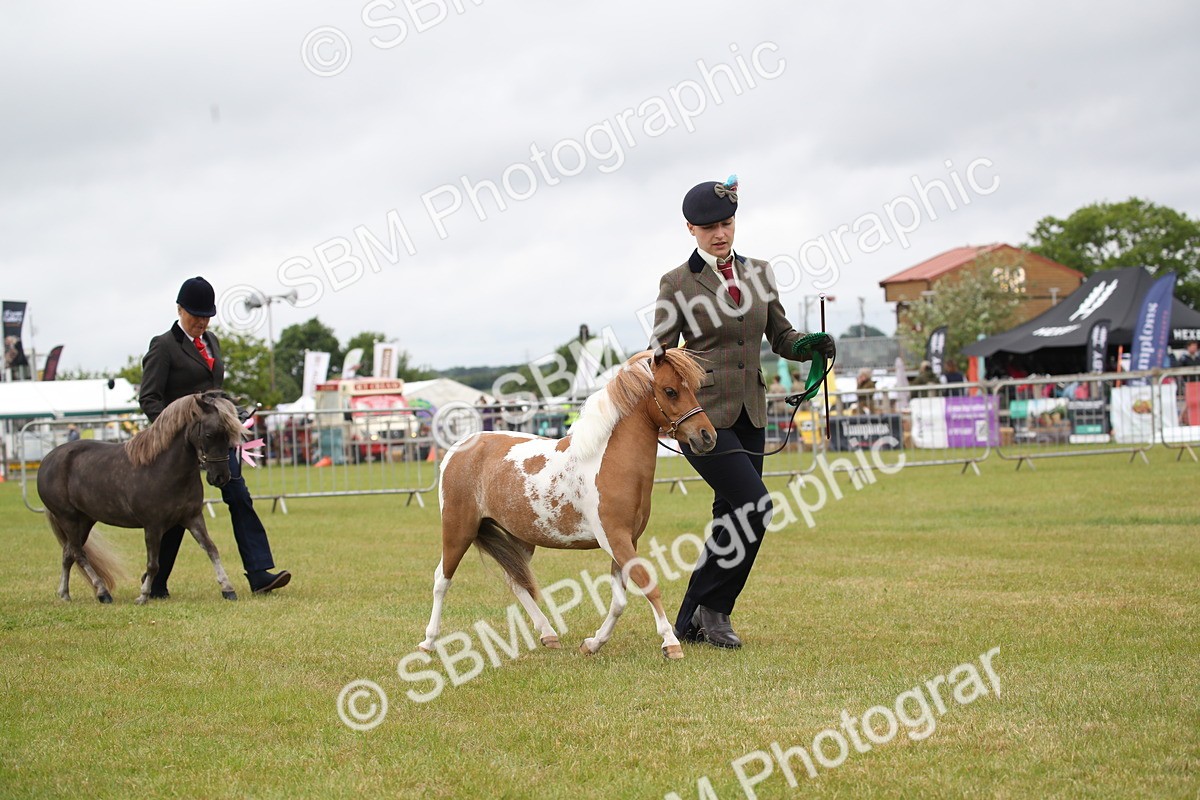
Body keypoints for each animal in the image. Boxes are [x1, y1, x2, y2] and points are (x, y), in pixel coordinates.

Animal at [37, 390, 247, 604]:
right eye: (209, 434)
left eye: (230, 436)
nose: (221, 477)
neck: (162, 467)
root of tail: (48, 460)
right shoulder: (153, 526)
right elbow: (153, 564)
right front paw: (143, 595)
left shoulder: (193, 517)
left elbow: (211, 549)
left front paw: (227, 588)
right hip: (68, 518)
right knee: (78, 553)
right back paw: (102, 592)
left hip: (85, 520)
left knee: (68, 553)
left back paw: (65, 594)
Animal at [420, 349, 717, 660]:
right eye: (670, 391)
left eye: (694, 388)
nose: (707, 436)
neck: (608, 461)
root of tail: (459, 447)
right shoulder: (615, 539)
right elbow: (648, 584)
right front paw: (670, 643)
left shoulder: (626, 541)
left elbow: (619, 601)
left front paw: (593, 643)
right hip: (458, 530)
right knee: (442, 579)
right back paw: (429, 641)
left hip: (521, 538)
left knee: (516, 581)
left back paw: (548, 634)